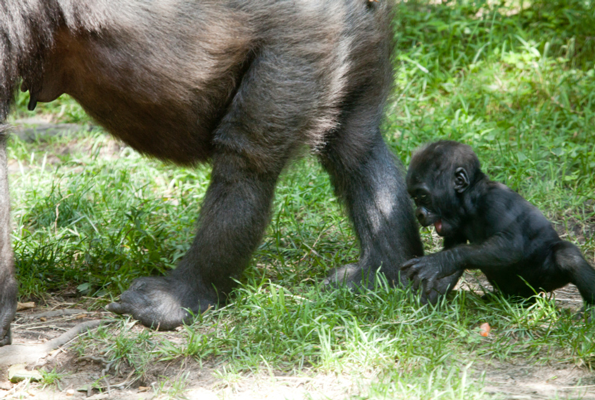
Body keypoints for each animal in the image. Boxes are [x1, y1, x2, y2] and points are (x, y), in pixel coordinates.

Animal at [0, 0, 428, 344]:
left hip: (301, 39)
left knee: (246, 162)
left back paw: (184, 295)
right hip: (362, 34)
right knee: (357, 150)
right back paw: (382, 271)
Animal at [400, 141, 595, 312]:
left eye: (423, 196)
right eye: (414, 197)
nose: (419, 213)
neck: (470, 199)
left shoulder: (496, 201)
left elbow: (512, 244)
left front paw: (439, 261)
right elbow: (452, 254)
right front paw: (424, 301)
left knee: (567, 256)